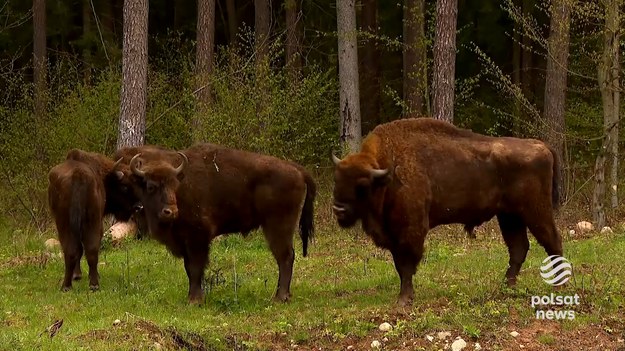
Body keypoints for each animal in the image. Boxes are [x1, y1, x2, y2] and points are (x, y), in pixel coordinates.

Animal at [47, 149, 139, 292]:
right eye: (124, 186)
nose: (138, 206)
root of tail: (78, 175)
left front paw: (77, 275)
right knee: (87, 250)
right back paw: (90, 284)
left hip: (69, 224)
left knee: (74, 250)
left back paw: (71, 285)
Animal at [117, 143, 316, 306]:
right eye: (151, 186)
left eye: (174, 185)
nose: (170, 212)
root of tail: (297, 169)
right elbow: (189, 268)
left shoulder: (198, 238)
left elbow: (195, 267)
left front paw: (195, 300)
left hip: (278, 227)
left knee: (285, 257)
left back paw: (279, 297)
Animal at [332, 118, 564, 306]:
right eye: (337, 179)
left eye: (362, 185)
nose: (338, 208)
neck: (387, 174)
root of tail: (541, 145)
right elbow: (400, 266)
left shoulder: (410, 231)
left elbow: (406, 265)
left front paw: (404, 300)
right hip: (509, 216)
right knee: (519, 248)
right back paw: (506, 286)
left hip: (535, 211)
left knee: (552, 240)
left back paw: (558, 286)